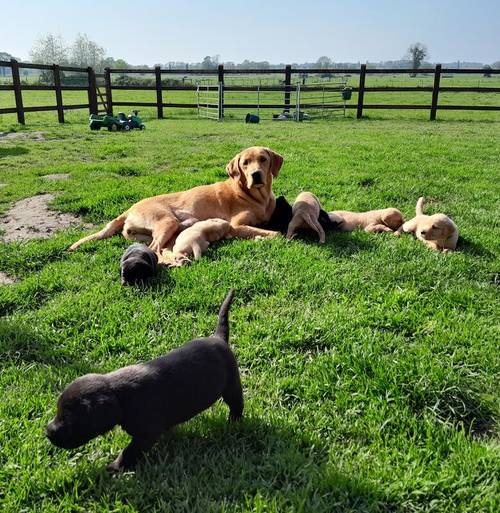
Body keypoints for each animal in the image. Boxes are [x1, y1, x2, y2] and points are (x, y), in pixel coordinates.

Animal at [45, 288, 242, 472]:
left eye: (68, 417)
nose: (47, 432)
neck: (120, 398)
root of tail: (218, 338)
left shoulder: (146, 434)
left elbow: (128, 452)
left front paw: (115, 467)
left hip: (232, 384)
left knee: (236, 404)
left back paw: (234, 422)